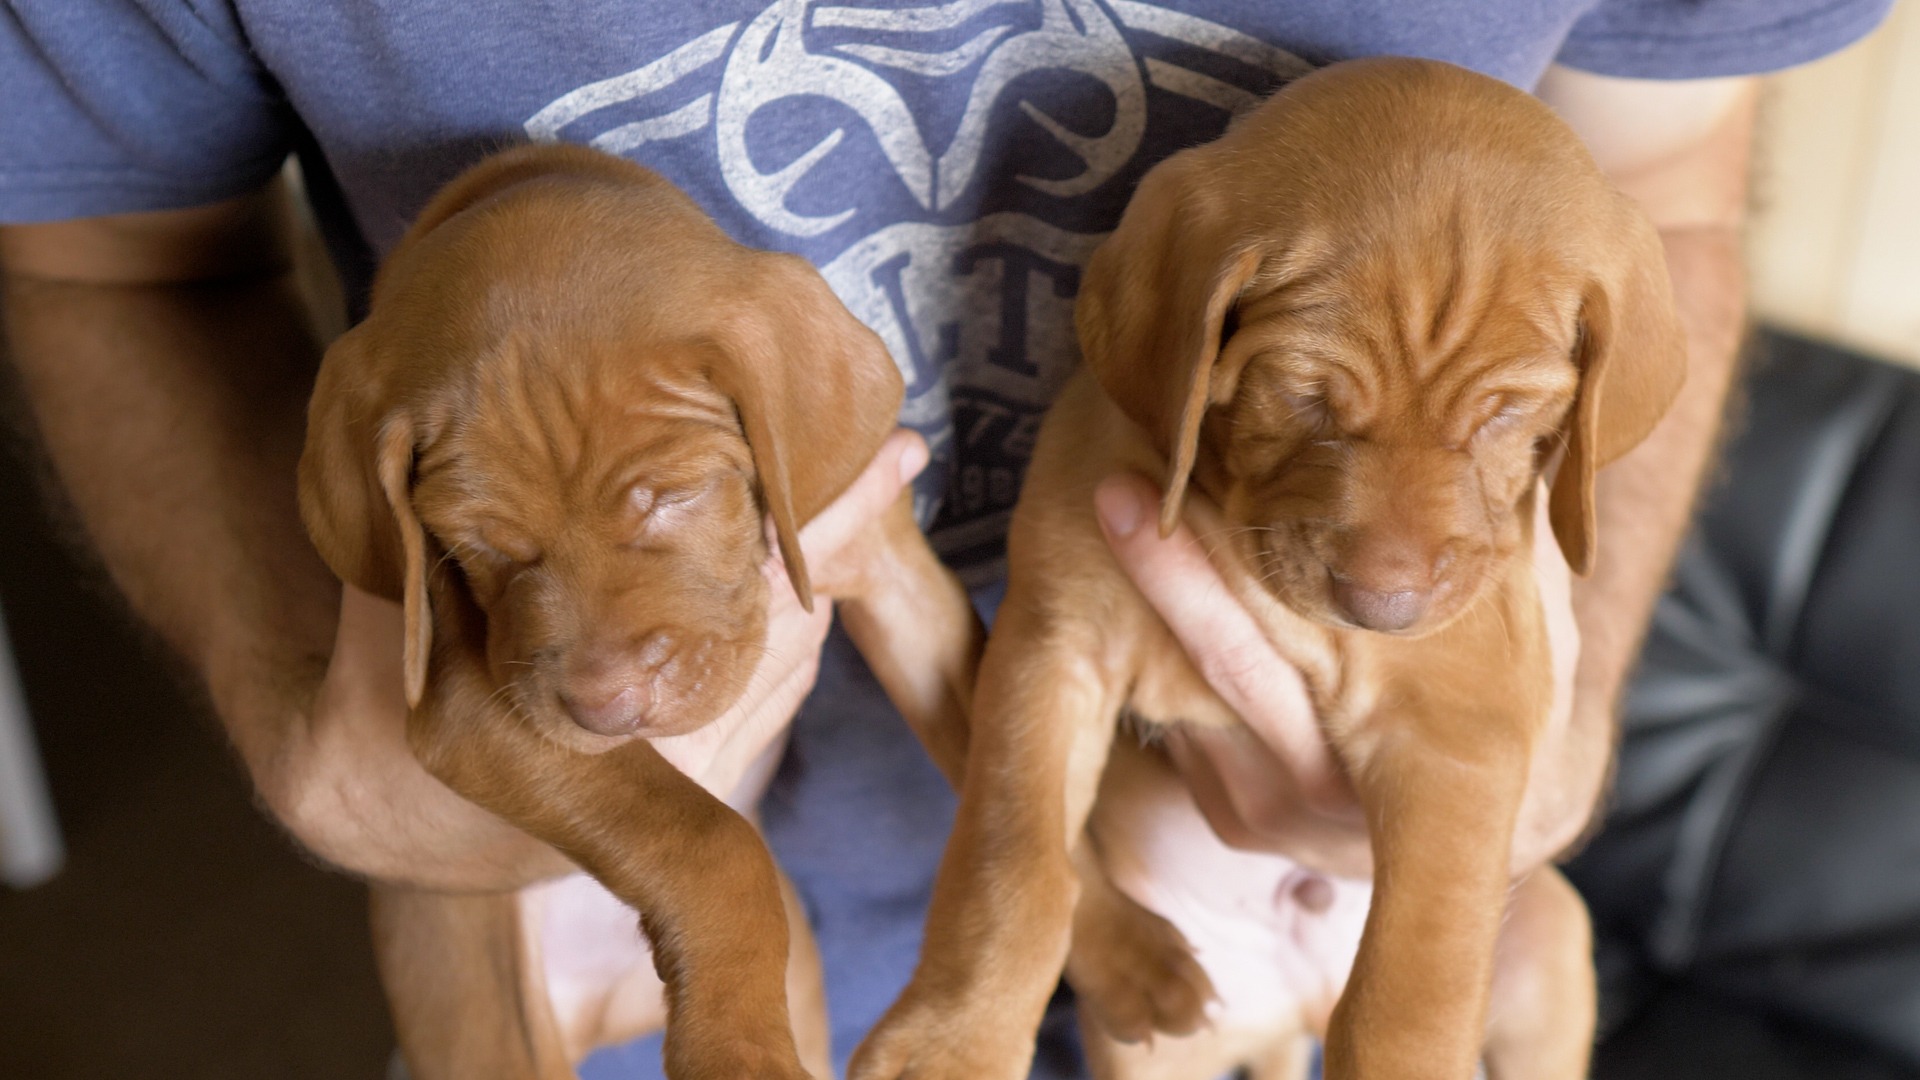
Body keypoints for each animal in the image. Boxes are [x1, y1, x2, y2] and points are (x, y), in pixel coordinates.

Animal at [298, 143, 980, 1079]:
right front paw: (739, 1054)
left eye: (671, 495)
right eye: (476, 542)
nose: (605, 707)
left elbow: (1010, 744)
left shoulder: (885, 557)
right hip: (492, 1036)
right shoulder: (472, 712)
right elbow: (709, 841)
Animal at [850, 57, 1684, 1080]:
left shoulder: (1454, 734)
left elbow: (1416, 981)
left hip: (1549, 938)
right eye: (1301, 389)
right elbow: (1011, 863)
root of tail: (1297, 1005)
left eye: (1506, 412)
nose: (1383, 604)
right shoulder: (1054, 646)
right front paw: (957, 1035)